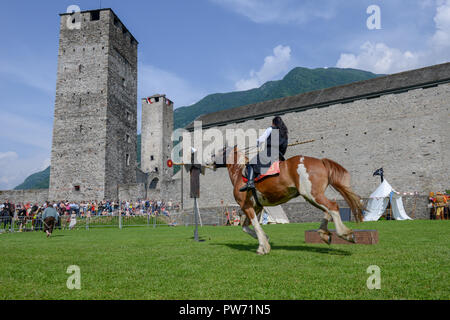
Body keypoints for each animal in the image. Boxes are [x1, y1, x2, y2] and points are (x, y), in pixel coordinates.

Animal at [209, 147, 364, 255]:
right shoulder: (256, 207)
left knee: (332, 207)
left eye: (219, 152)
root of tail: (321, 161)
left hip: (312, 195)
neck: (240, 173)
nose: (209, 161)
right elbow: (246, 227)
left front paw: (264, 246)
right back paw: (324, 234)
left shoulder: (246, 206)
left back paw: (345, 234)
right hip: (311, 196)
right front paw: (263, 243)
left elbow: (254, 226)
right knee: (328, 210)